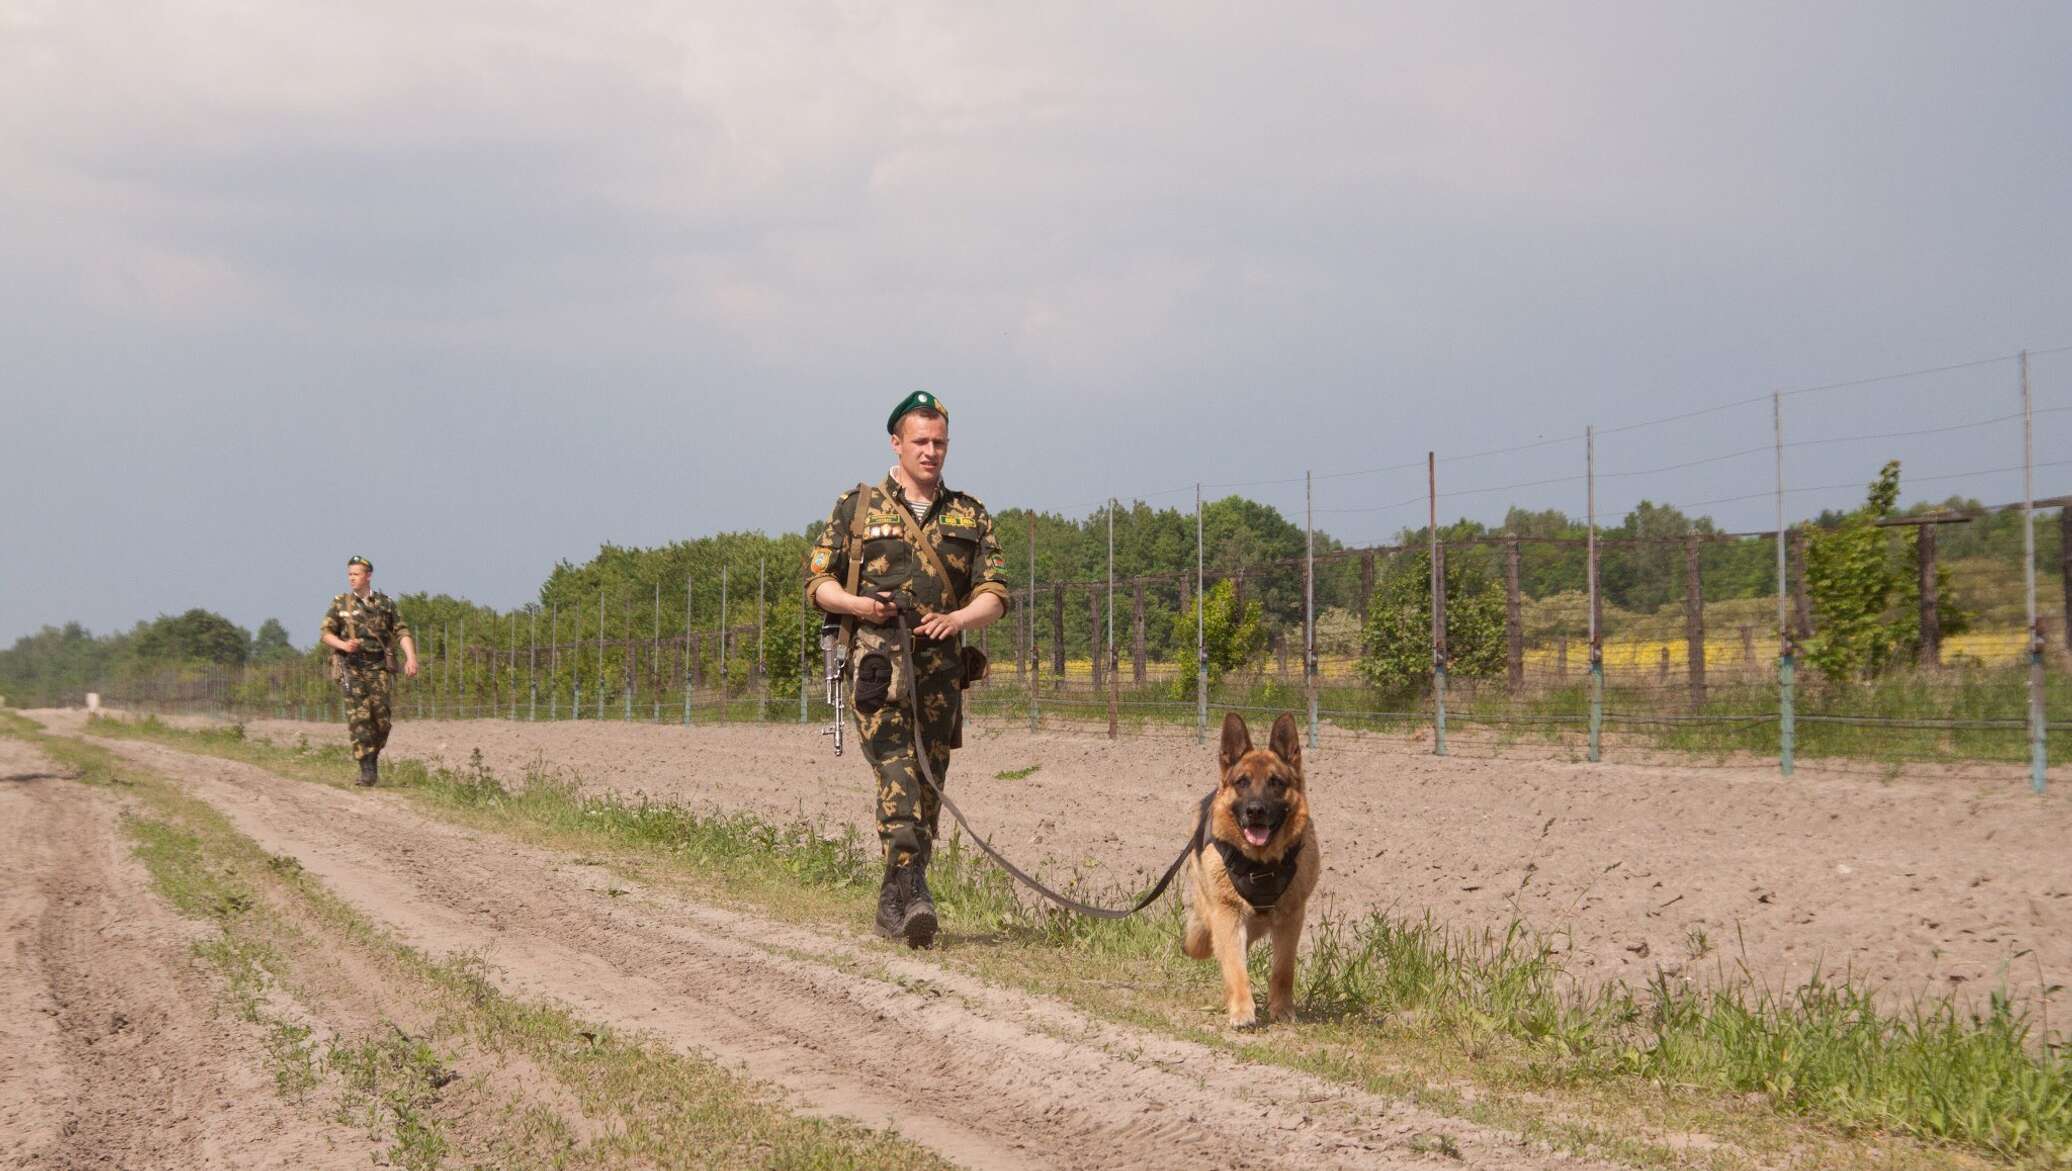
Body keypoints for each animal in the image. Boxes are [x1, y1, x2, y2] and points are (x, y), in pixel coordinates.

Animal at [1185, 708, 1309, 1027]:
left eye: (1276, 782)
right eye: (1242, 782)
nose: (1255, 811)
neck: (1261, 863)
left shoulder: (1291, 919)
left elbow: (1283, 970)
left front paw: (1281, 1008)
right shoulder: (1227, 914)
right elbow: (1235, 967)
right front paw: (1242, 1009)